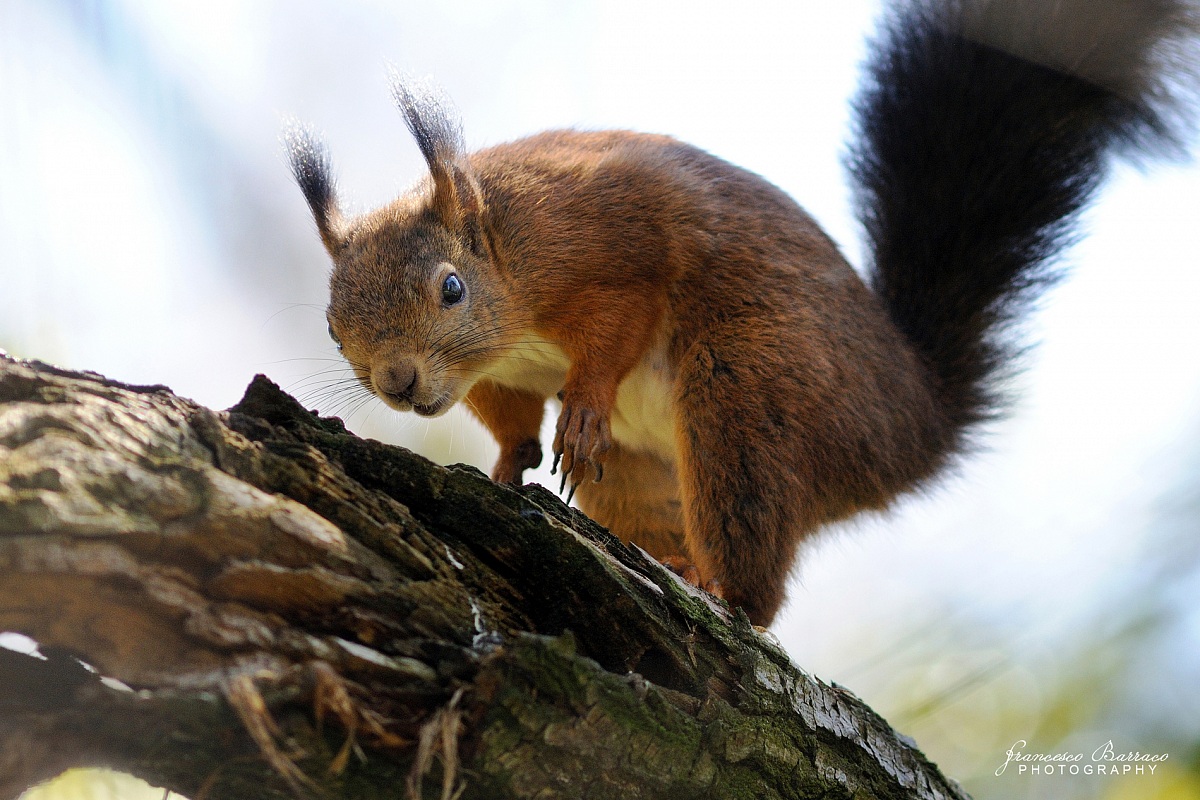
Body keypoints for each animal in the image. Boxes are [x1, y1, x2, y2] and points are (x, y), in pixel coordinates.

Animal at [287, 0, 1198, 627]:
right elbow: (509, 419)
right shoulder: (494, 375)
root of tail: (920, 424)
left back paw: (718, 589)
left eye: (451, 289)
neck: (510, 261)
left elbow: (614, 333)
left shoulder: (607, 256)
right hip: (647, 476)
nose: (399, 383)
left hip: (751, 393)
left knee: (756, 573)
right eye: (331, 326)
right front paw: (511, 463)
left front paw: (580, 408)